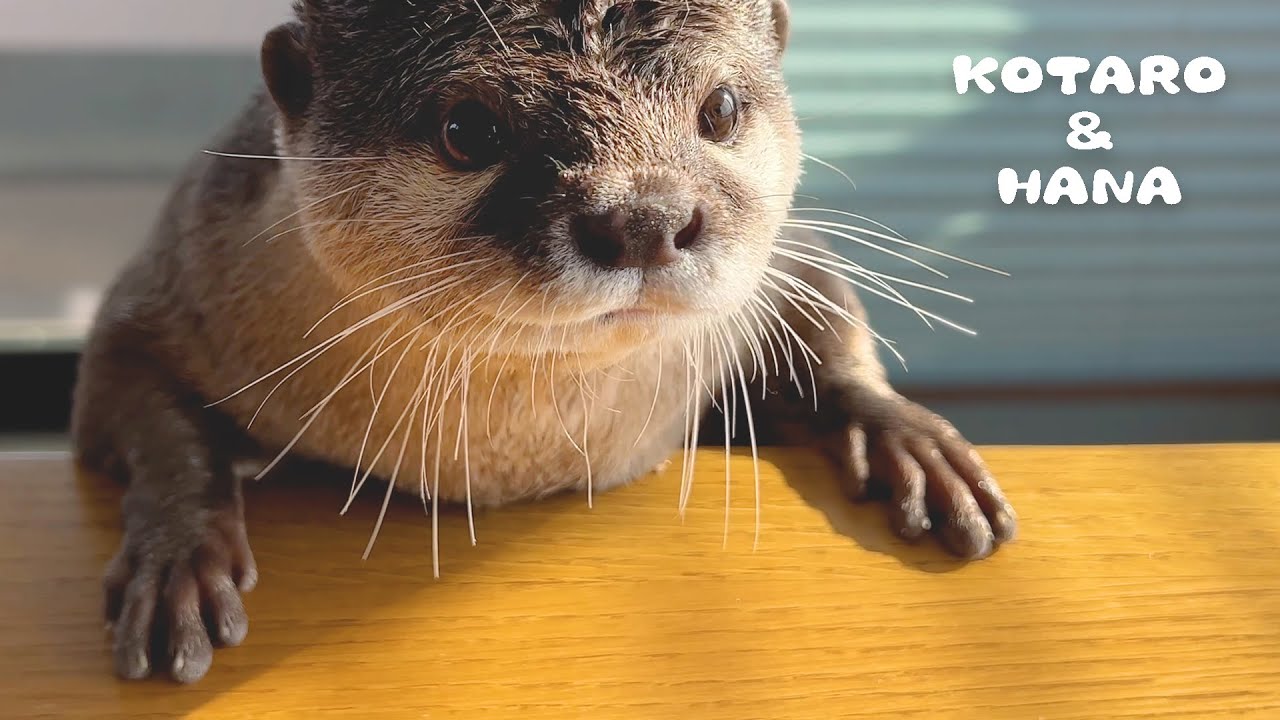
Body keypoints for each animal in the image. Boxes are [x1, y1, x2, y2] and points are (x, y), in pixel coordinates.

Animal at [72, 0, 1017, 684]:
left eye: (719, 108)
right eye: (469, 131)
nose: (645, 217)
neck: (518, 461)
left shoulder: (780, 259)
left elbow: (827, 309)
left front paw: (906, 438)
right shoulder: (187, 264)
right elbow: (134, 389)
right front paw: (179, 557)